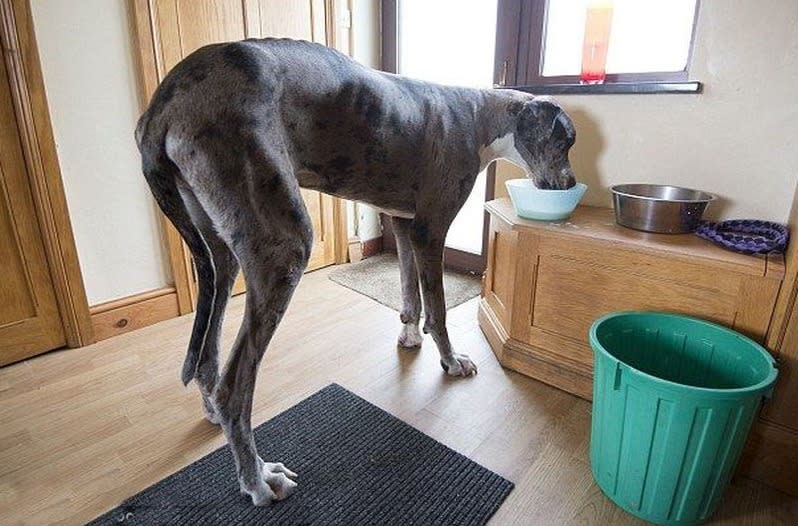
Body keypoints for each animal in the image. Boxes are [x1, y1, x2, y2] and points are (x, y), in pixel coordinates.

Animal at [136, 38, 576, 508]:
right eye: (564, 139)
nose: (570, 185)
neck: (478, 115)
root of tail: (163, 103)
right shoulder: (431, 230)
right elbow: (438, 309)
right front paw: (450, 360)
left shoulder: (402, 224)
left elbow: (409, 294)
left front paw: (409, 336)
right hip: (284, 247)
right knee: (234, 388)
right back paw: (258, 478)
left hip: (221, 255)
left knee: (208, 356)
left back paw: (214, 416)